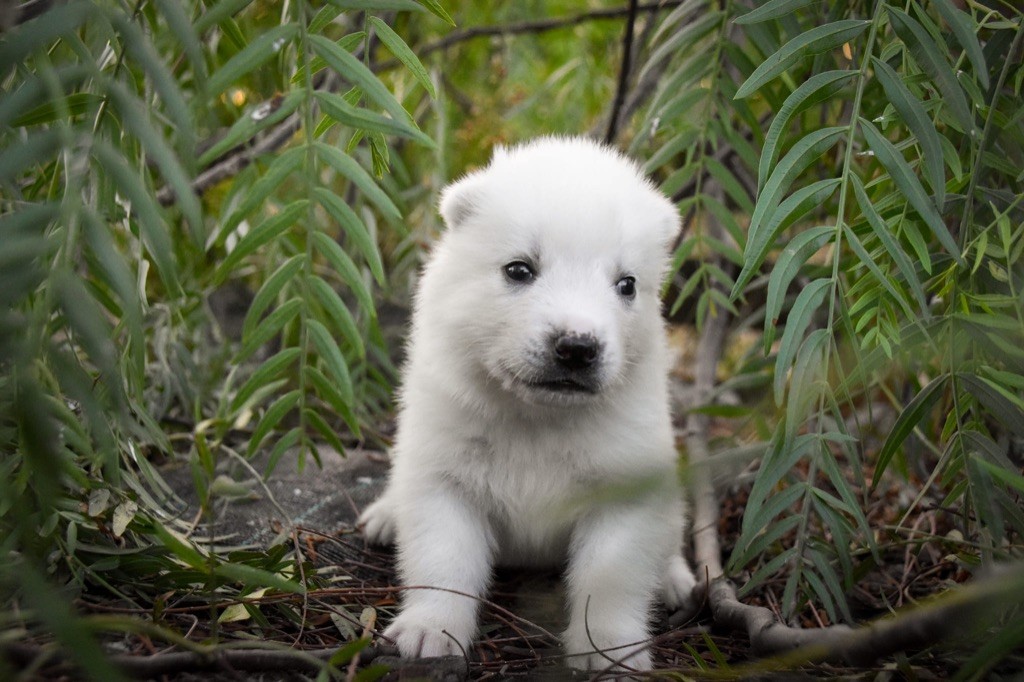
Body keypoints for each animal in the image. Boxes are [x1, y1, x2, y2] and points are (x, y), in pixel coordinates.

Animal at [360, 135, 696, 667]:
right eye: (519, 269)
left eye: (627, 284)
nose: (577, 347)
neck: (539, 418)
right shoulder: (445, 474)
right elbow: (444, 559)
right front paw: (430, 632)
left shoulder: (626, 483)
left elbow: (611, 577)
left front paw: (607, 649)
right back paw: (385, 516)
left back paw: (675, 579)